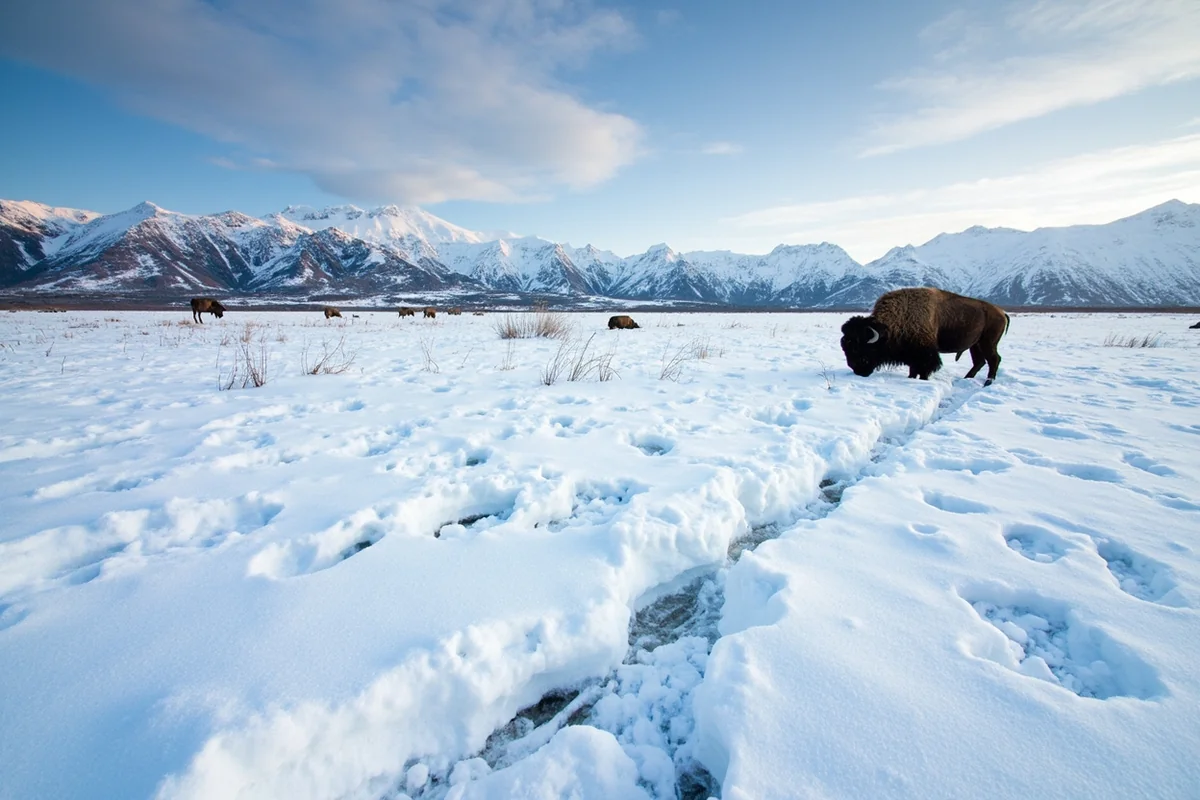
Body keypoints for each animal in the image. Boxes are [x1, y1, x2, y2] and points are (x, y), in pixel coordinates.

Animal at [840, 287, 1009, 385]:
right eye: (845, 347)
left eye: (859, 347)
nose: (856, 370)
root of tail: (1001, 312)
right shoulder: (912, 355)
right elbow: (913, 369)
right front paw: (911, 378)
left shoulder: (925, 354)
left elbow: (924, 369)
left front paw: (923, 380)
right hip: (975, 345)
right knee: (979, 361)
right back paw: (967, 378)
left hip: (988, 342)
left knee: (994, 359)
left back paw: (988, 382)